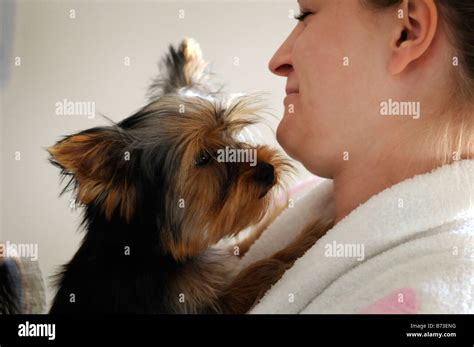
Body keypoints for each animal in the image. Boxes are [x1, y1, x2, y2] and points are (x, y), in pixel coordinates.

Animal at [46, 38, 332, 316]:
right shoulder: (205, 305)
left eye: (230, 134)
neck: (153, 247)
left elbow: (243, 245)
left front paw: (279, 212)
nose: (267, 170)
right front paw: (306, 239)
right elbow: (260, 270)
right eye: (203, 158)